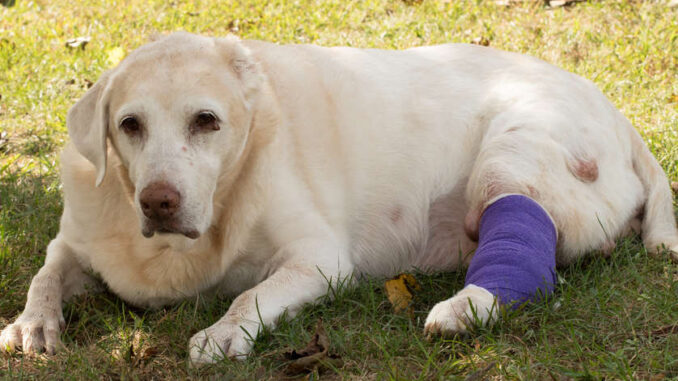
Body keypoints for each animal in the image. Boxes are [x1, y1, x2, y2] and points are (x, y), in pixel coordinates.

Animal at [1, 31, 678, 362]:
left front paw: (222, 334)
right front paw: (33, 324)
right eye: (129, 125)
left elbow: (250, 295)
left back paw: (463, 309)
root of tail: (619, 117)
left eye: (206, 121)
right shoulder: (77, 242)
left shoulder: (318, 262)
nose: (158, 202)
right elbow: (45, 273)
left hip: (508, 156)